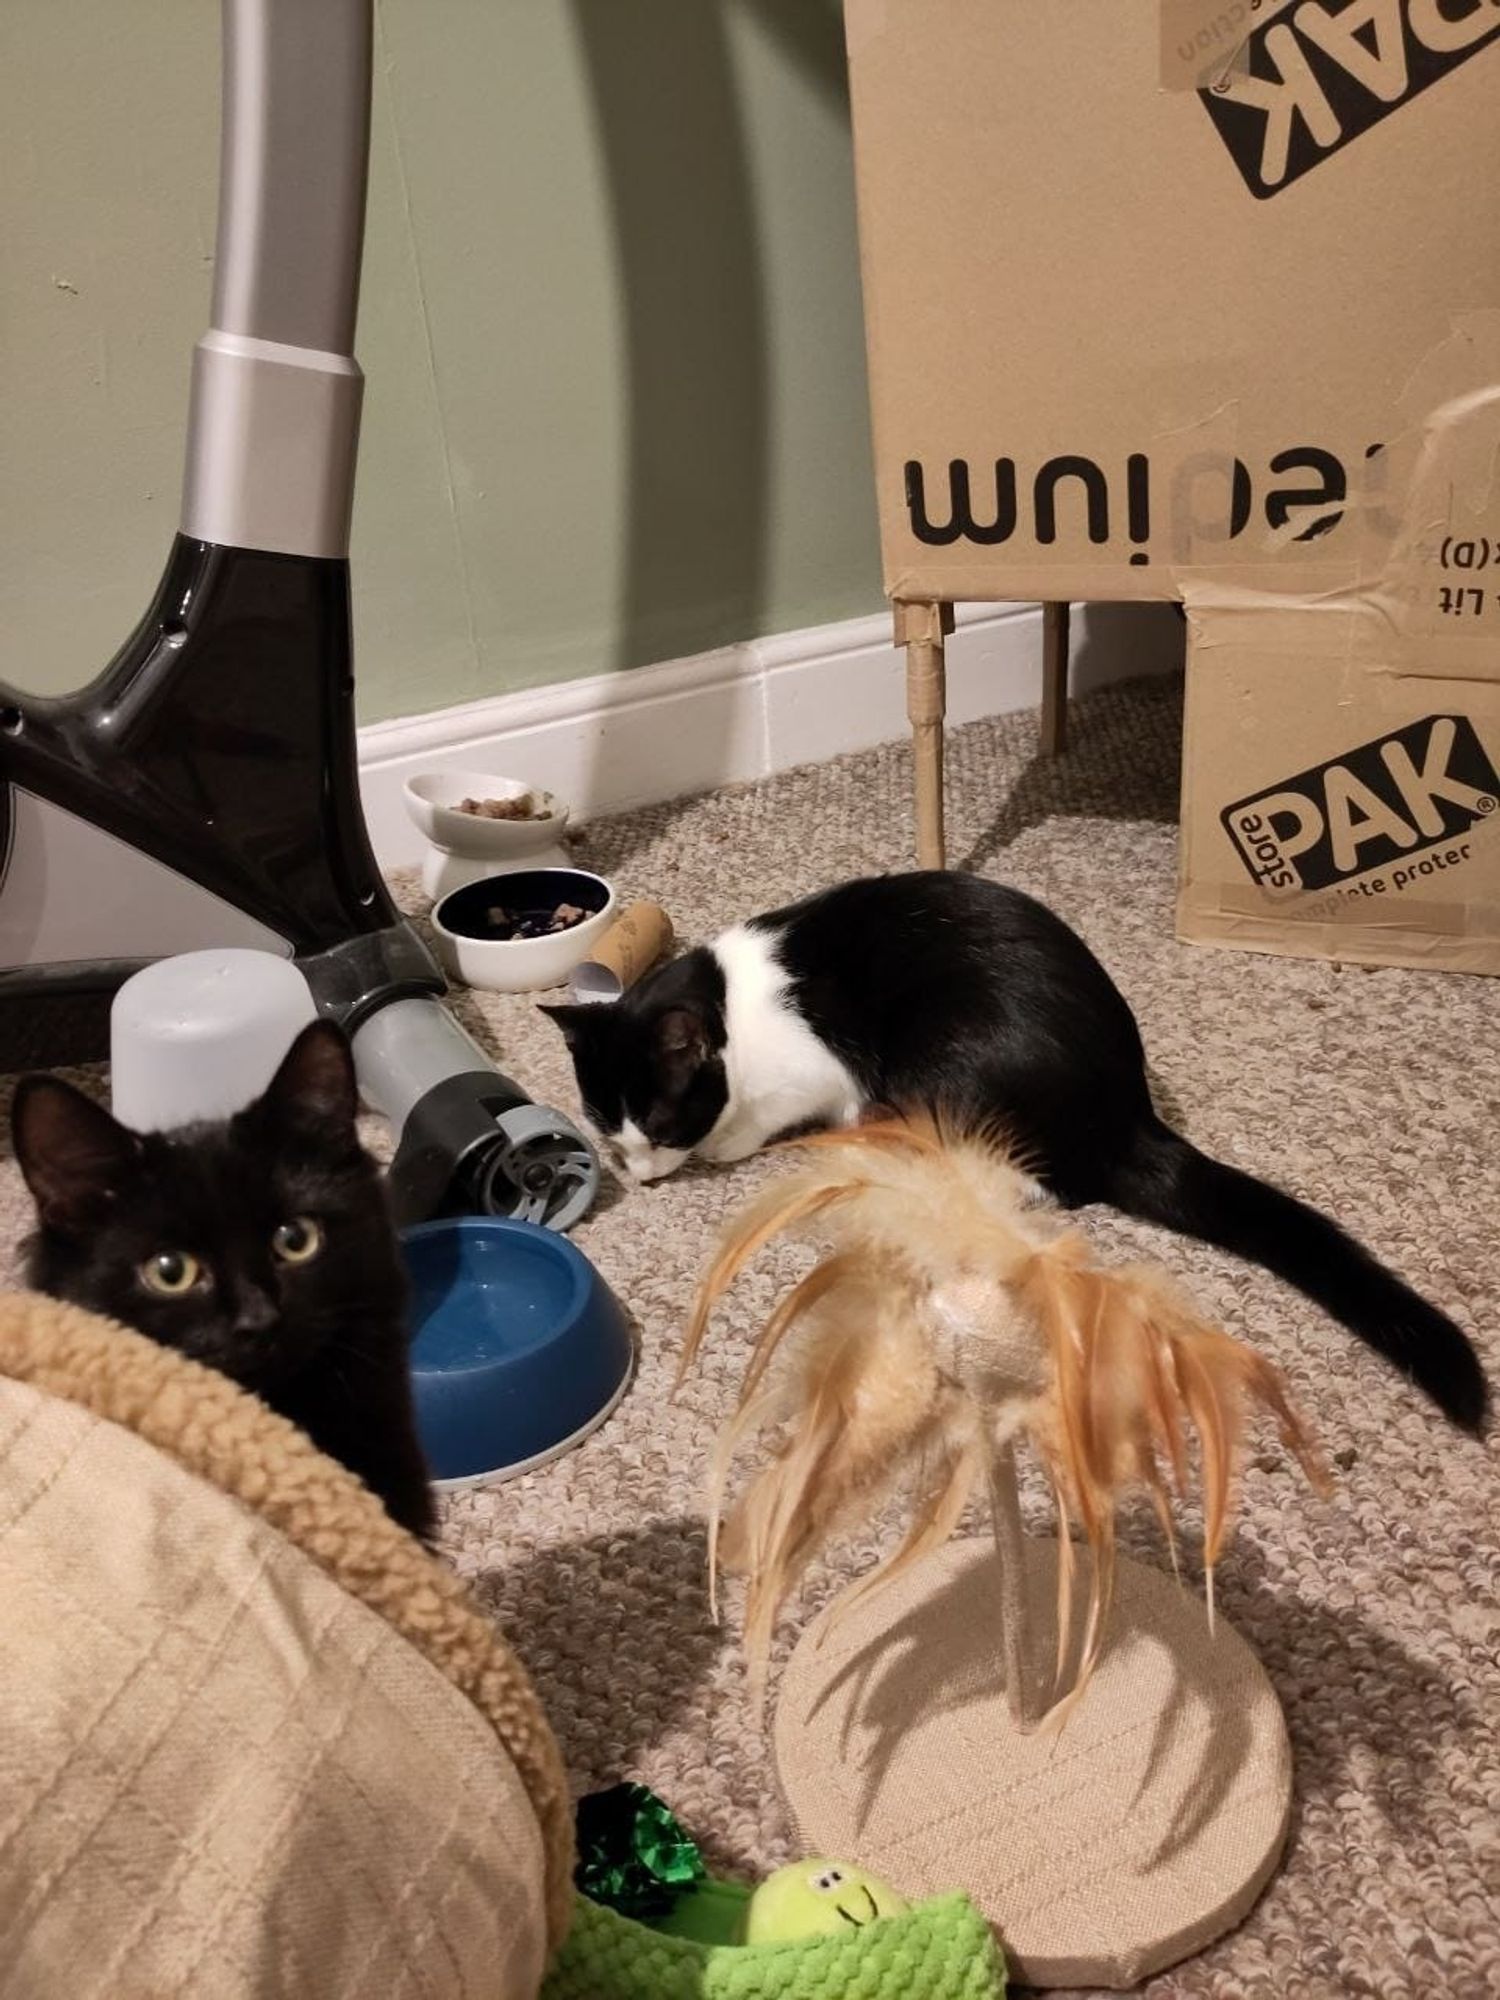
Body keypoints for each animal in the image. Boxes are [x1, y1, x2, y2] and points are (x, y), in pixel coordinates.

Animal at [544, 876, 1496, 1440]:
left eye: (658, 1114)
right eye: (601, 1120)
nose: (638, 1172)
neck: (725, 1009)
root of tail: (1128, 1112)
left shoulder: (808, 1072)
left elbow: (752, 1121)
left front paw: (725, 1141)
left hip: (943, 1060)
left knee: (1051, 1184)